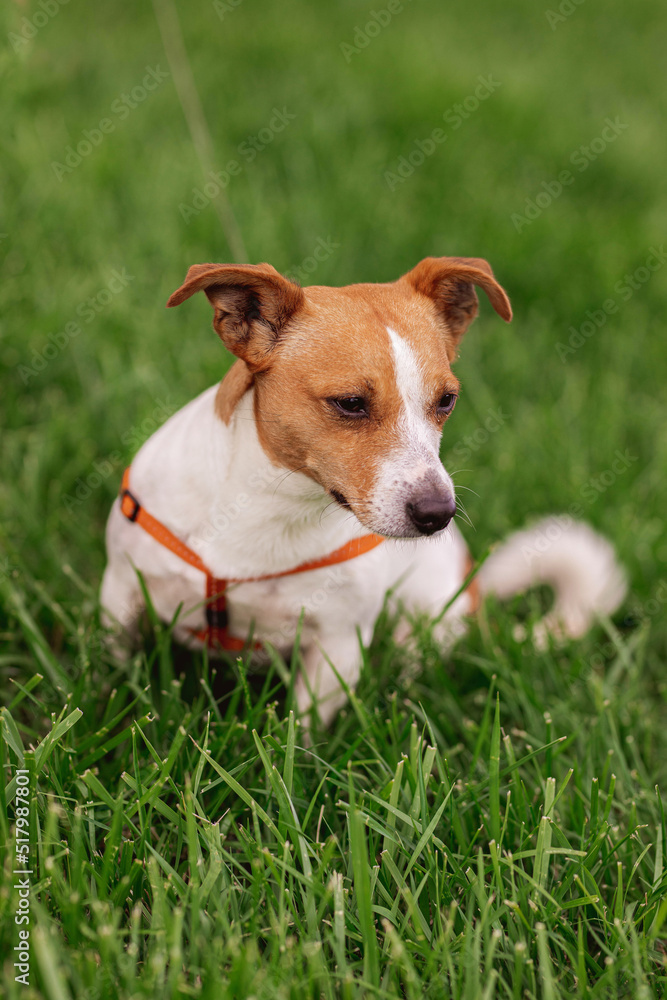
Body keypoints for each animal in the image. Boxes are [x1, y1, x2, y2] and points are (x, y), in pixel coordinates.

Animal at [100, 258, 628, 728]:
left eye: (446, 401)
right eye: (351, 403)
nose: (439, 514)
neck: (273, 508)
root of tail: (473, 593)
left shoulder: (338, 645)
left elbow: (303, 732)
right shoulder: (121, 592)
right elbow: (113, 671)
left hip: (427, 624)